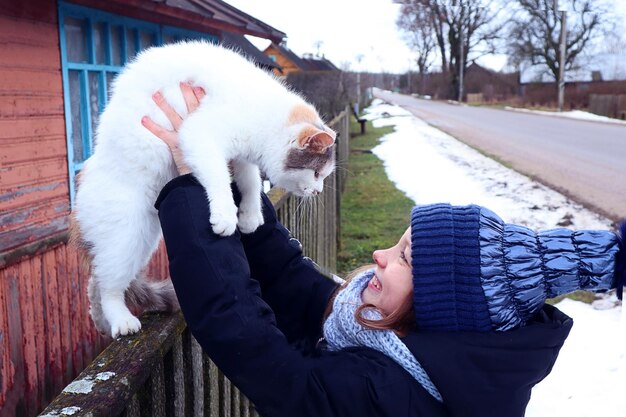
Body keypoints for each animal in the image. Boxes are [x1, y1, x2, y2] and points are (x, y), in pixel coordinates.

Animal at [71, 39, 336, 338]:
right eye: (317, 173)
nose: (318, 191)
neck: (265, 118)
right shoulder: (199, 134)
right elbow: (219, 176)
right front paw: (226, 215)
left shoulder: (241, 155)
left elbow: (251, 180)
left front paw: (250, 215)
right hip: (126, 236)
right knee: (108, 285)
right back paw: (120, 319)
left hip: (138, 240)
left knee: (96, 279)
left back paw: (103, 322)